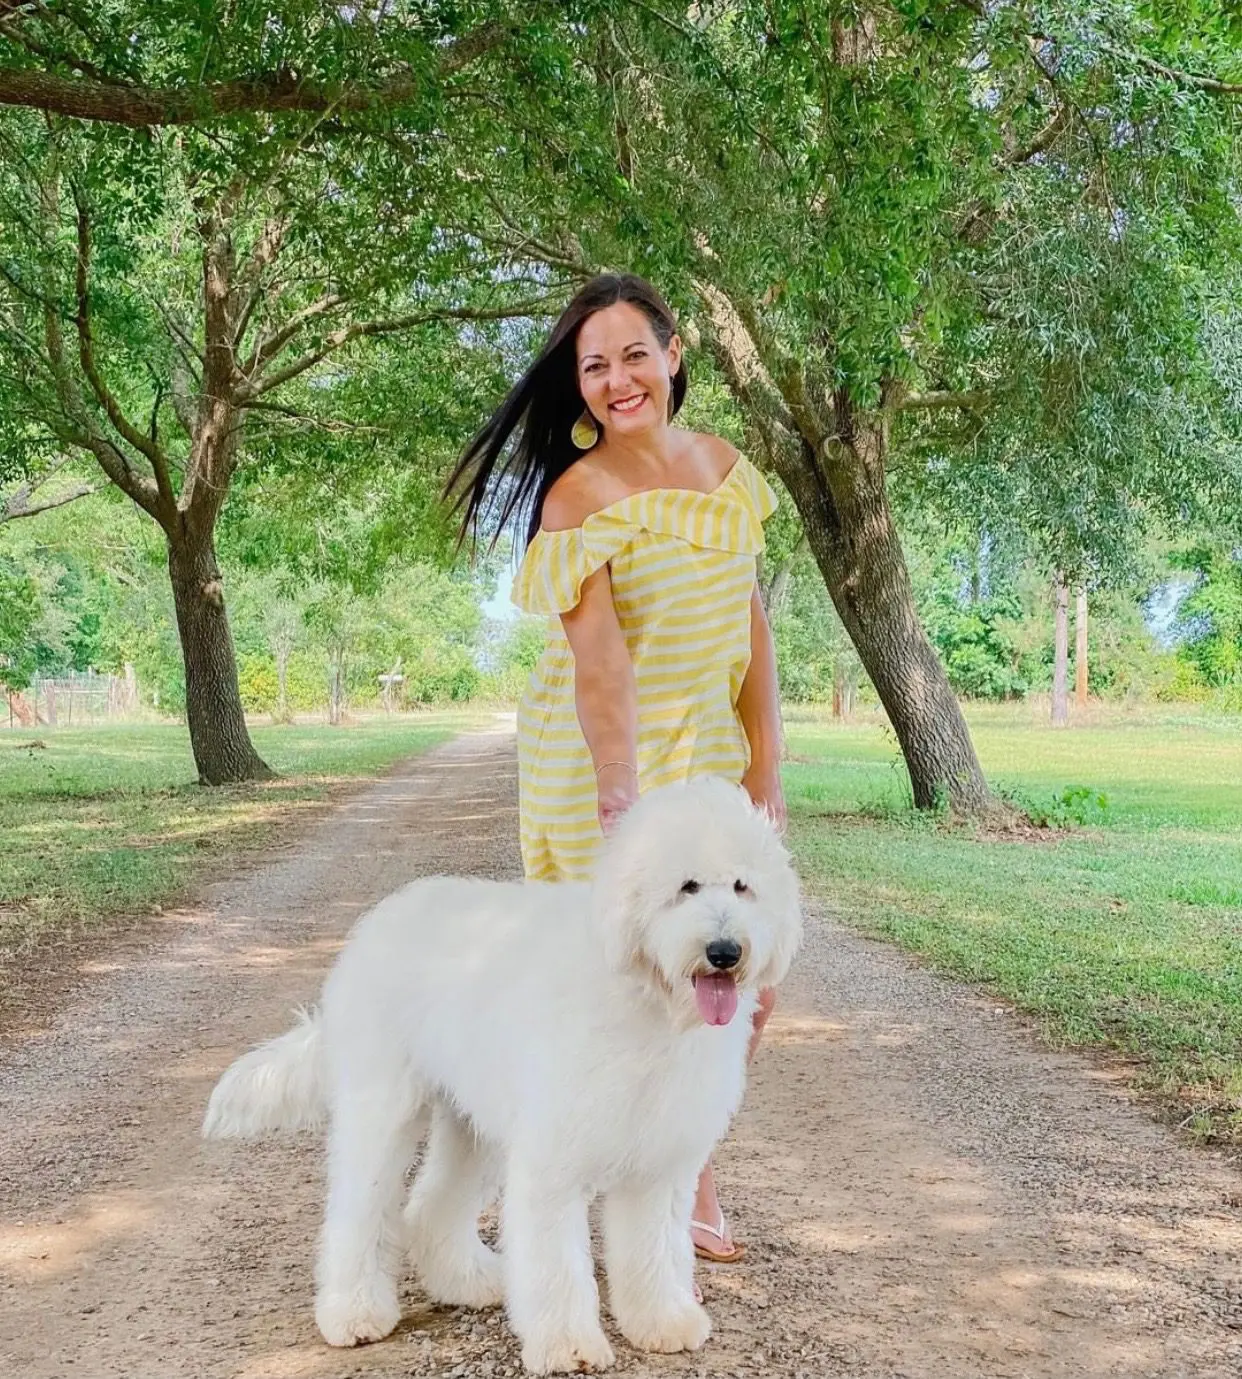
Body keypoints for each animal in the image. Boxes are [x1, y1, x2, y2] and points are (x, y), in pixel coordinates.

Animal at [201, 783, 805, 1373]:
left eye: (742, 886)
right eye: (687, 886)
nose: (725, 951)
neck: (645, 1003)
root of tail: (376, 924)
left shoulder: (658, 1162)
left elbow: (653, 1249)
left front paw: (663, 1322)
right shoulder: (551, 1161)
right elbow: (556, 1264)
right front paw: (568, 1346)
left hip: (473, 1121)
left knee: (431, 1208)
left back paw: (470, 1284)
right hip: (383, 1106)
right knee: (357, 1211)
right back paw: (353, 1313)